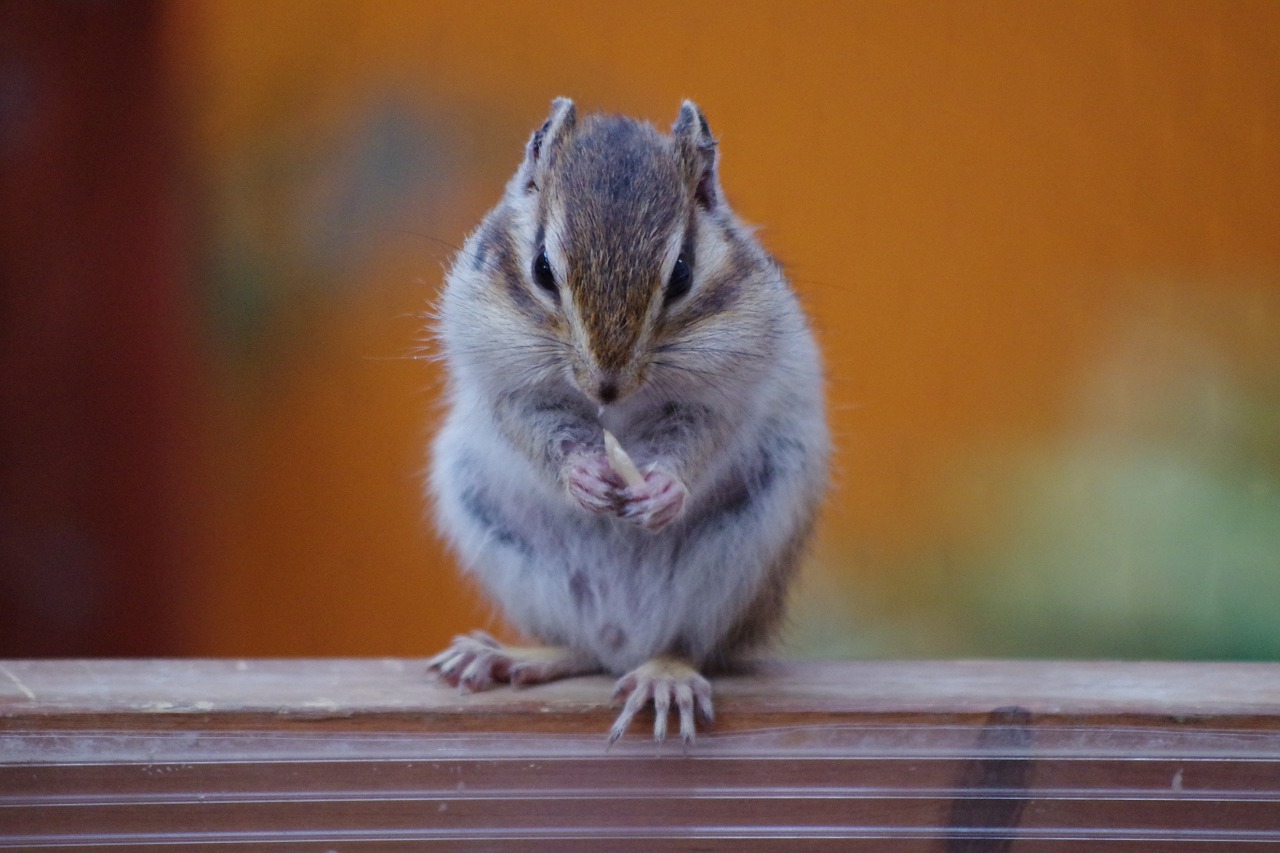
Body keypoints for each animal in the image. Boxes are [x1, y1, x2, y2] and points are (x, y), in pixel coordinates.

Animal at [430, 96, 829, 742]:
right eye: (543, 269)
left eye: (683, 273)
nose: (606, 385)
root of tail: (624, 638)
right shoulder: (506, 383)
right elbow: (533, 426)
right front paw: (583, 476)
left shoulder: (723, 393)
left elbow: (701, 434)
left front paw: (664, 488)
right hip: (491, 523)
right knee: (583, 649)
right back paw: (510, 657)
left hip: (743, 551)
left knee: (685, 644)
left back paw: (665, 676)